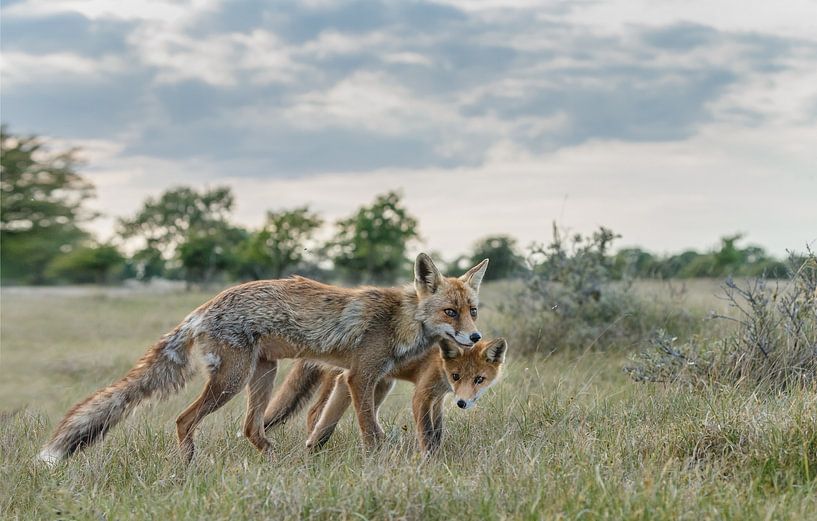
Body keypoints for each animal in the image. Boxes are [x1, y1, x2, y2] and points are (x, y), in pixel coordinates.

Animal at [262, 338, 504, 450]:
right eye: (456, 376)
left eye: (479, 379)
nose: (462, 403)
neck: (441, 363)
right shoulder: (422, 395)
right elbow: (427, 434)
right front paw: (430, 463)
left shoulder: (437, 399)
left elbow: (437, 433)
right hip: (347, 380)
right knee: (314, 412)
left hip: (381, 385)